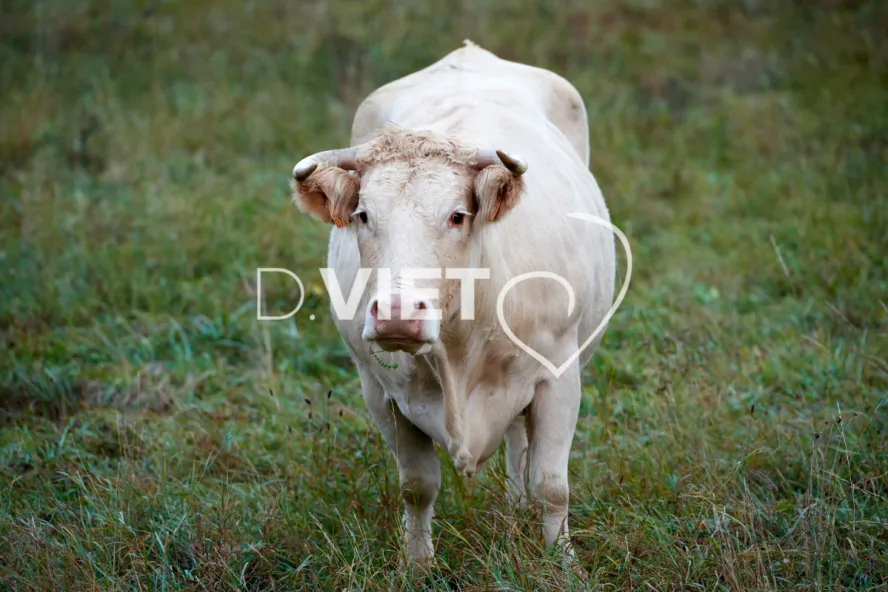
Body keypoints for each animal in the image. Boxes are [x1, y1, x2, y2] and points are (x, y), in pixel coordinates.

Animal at [291, 40, 616, 566]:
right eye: (362, 214)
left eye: (458, 215)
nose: (398, 316)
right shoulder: (381, 393)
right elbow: (417, 487)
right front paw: (417, 566)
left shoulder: (559, 379)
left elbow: (552, 486)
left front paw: (563, 566)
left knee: (519, 448)